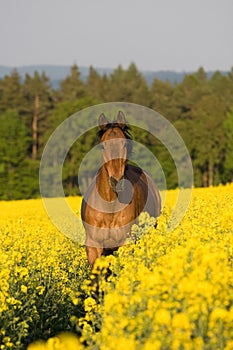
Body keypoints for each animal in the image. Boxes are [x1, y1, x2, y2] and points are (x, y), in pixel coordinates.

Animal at [81, 110, 161, 266]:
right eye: (102, 146)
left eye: (124, 144)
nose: (116, 181)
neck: (109, 205)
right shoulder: (94, 247)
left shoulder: (126, 243)